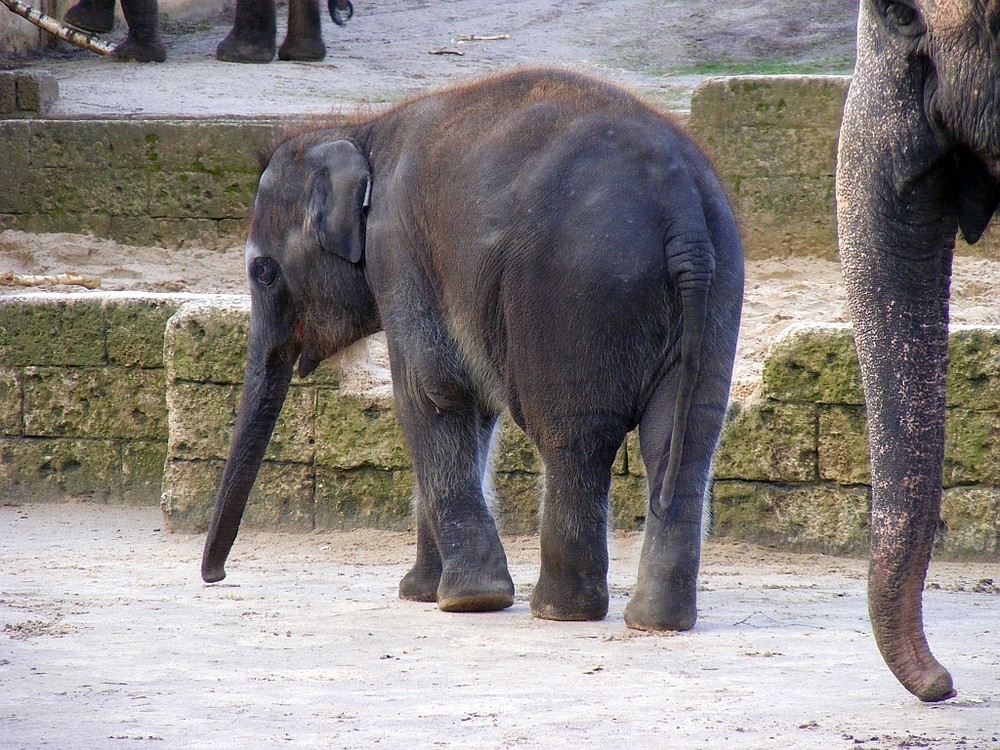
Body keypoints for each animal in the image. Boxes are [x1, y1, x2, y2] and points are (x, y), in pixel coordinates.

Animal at [201, 69, 744, 636]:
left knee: (575, 436)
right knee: (684, 438)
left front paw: (469, 599)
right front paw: (420, 592)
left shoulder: (398, 252)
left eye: (263, 271)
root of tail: (682, 206)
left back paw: (559, 611)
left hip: (576, 290)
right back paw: (657, 621)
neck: (361, 131)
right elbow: (473, 412)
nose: (216, 576)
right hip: (716, 288)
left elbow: (431, 394)